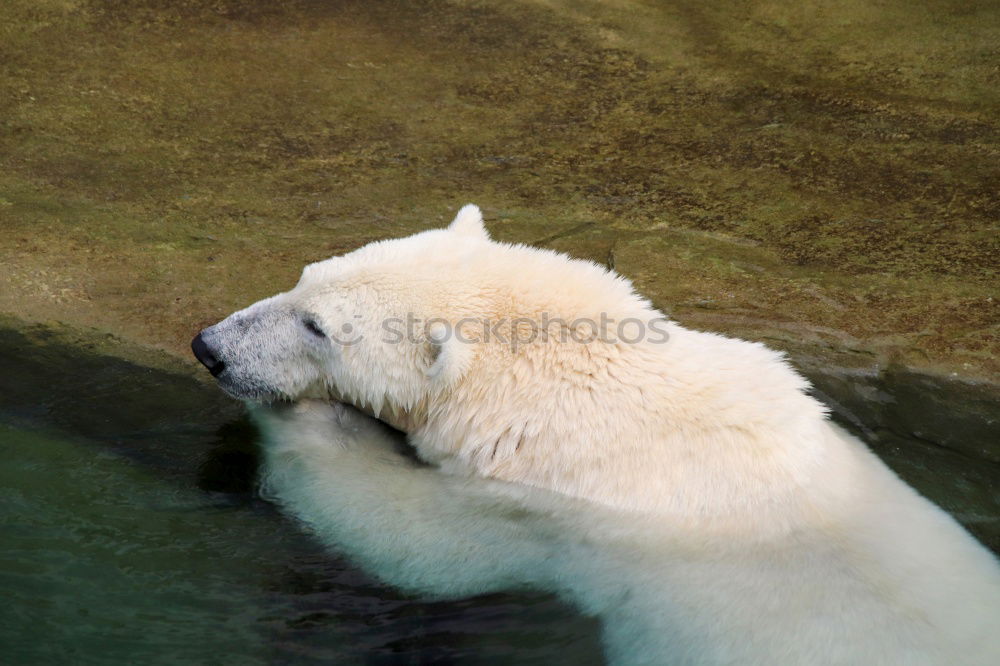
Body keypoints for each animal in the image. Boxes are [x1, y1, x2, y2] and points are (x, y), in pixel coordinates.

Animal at [191, 205, 996, 660]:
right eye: (304, 275)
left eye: (316, 326)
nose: (209, 346)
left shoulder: (535, 505)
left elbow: (419, 551)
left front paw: (299, 417)